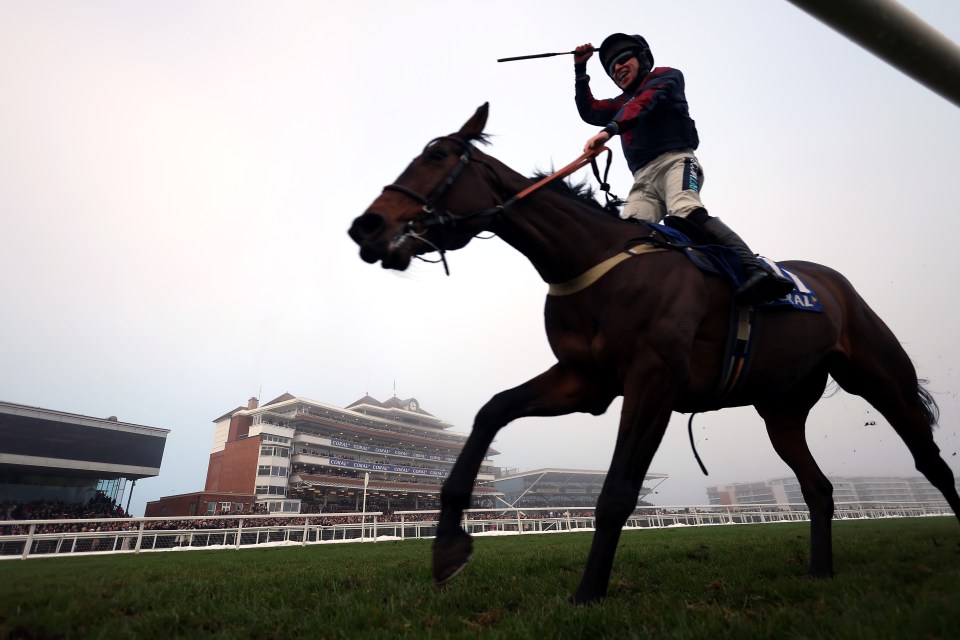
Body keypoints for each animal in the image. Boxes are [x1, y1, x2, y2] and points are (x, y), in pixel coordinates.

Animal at [346, 102, 960, 604]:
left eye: (437, 155)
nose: (365, 226)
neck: (595, 258)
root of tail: (832, 282)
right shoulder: (585, 380)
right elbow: (491, 411)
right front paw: (448, 544)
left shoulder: (653, 380)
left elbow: (618, 491)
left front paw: (588, 593)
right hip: (782, 408)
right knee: (819, 487)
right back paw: (819, 571)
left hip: (881, 378)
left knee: (931, 462)